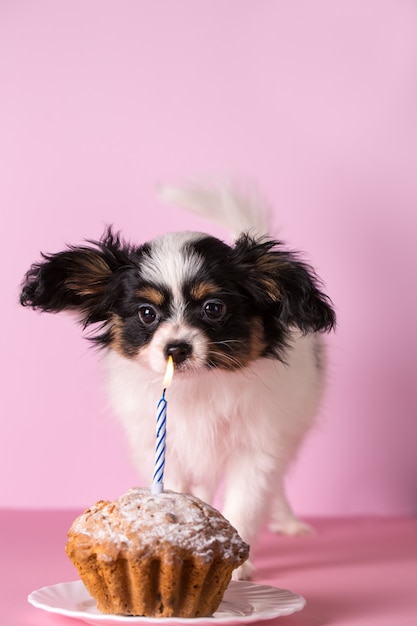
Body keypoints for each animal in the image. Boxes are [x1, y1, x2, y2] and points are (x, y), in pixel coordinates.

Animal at [21, 180, 336, 576]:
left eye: (213, 308)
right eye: (146, 313)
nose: (176, 348)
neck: (198, 385)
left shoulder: (258, 447)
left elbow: (247, 501)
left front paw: (237, 568)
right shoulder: (160, 443)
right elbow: (173, 487)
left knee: (276, 483)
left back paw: (288, 520)